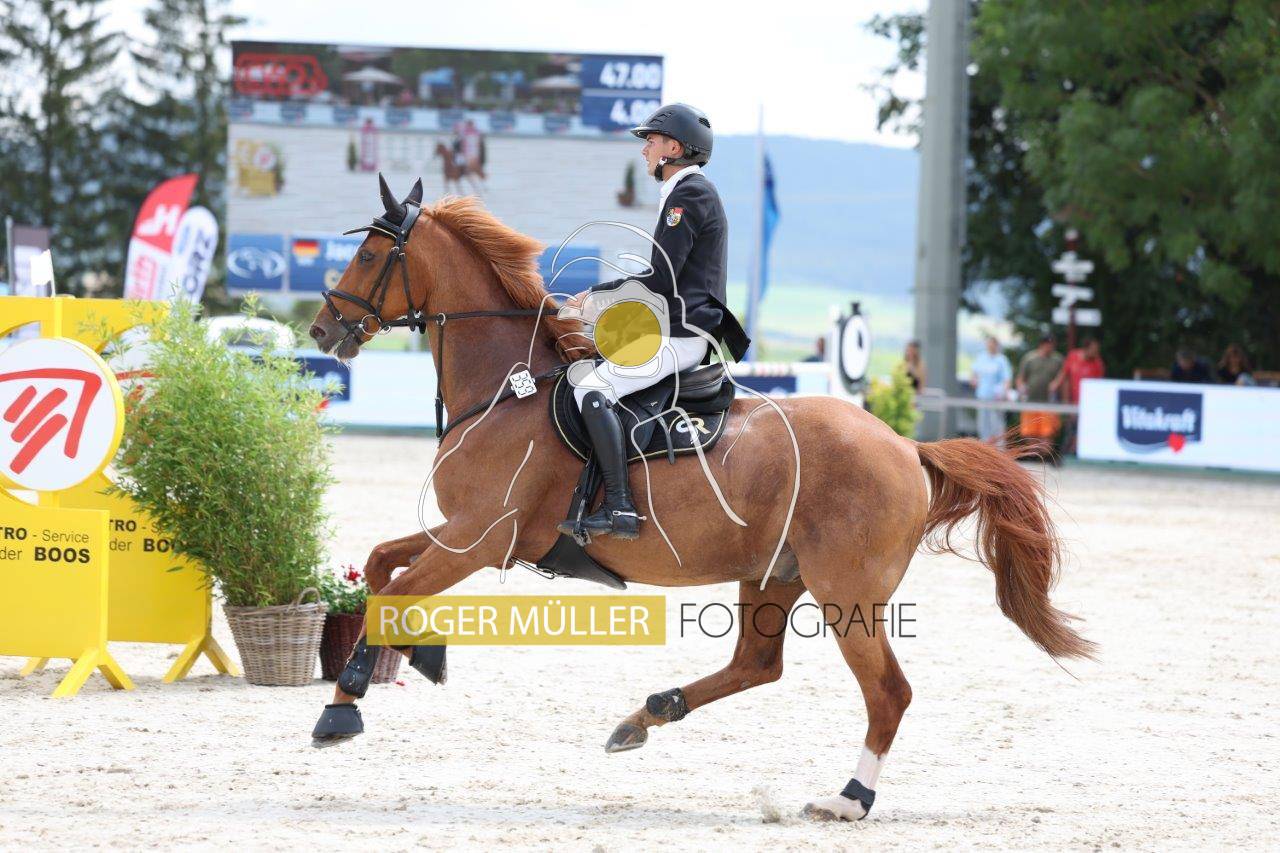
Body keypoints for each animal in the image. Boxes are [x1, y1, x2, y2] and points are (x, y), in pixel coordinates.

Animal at [305, 177, 1096, 821]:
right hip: (775, 574)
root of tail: (905, 445)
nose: (322, 330)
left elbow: (392, 587)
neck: (509, 388)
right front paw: (419, 656)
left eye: (371, 256)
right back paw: (645, 716)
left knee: (887, 693)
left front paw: (343, 707)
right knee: (759, 664)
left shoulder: (481, 535)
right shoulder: (467, 531)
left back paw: (847, 798)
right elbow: (382, 565)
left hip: (847, 592)